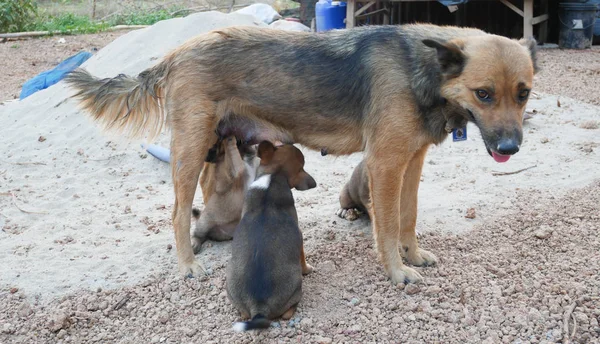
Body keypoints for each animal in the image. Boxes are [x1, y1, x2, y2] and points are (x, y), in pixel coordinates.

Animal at [67, 22, 540, 284]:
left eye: (523, 93)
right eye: (483, 93)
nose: (510, 148)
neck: (423, 69)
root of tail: (174, 54)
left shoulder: (413, 160)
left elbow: (408, 216)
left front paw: (413, 254)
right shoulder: (386, 164)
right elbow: (386, 227)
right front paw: (397, 272)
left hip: (209, 146)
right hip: (190, 148)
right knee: (179, 212)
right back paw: (187, 263)